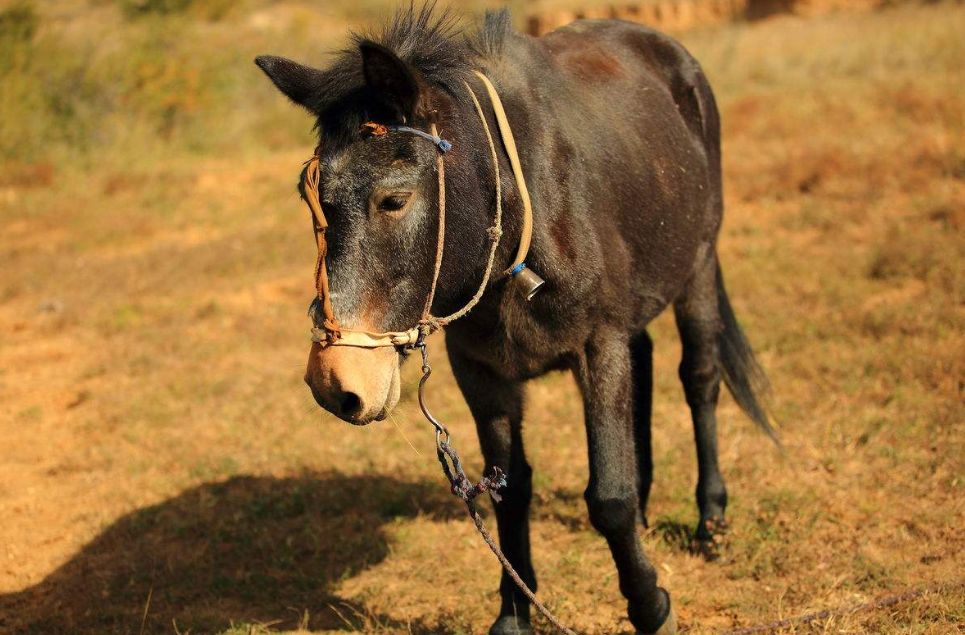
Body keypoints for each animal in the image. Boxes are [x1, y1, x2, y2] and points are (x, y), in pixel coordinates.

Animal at [256, 7, 774, 634]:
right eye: (311, 201)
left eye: (393, 201)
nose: (336, 384)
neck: (521, 221)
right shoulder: (481, 372)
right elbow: (508, 489)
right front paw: (513, 613)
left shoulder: (598, 346)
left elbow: (609, 497)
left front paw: (651, 605)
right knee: (646, 362)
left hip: (697, 265)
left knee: (699, 378)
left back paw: (711, 519)